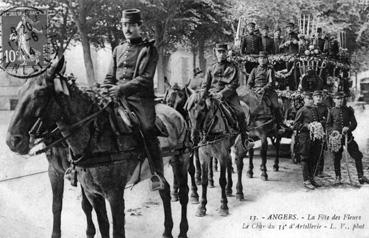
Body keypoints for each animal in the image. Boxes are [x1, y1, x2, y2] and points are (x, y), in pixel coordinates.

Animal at [5, 58, 190, 238]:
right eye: (19, 93)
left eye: (40, 93)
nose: (12, 141)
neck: (95, 137)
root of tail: (176, 113)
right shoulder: (87, 189)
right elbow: (98, 222)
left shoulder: (114, 194)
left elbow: (116, 229)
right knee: (165, 190)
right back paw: (167, 231)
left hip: (181, 159)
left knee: (183, 194)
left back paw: (182, 230)